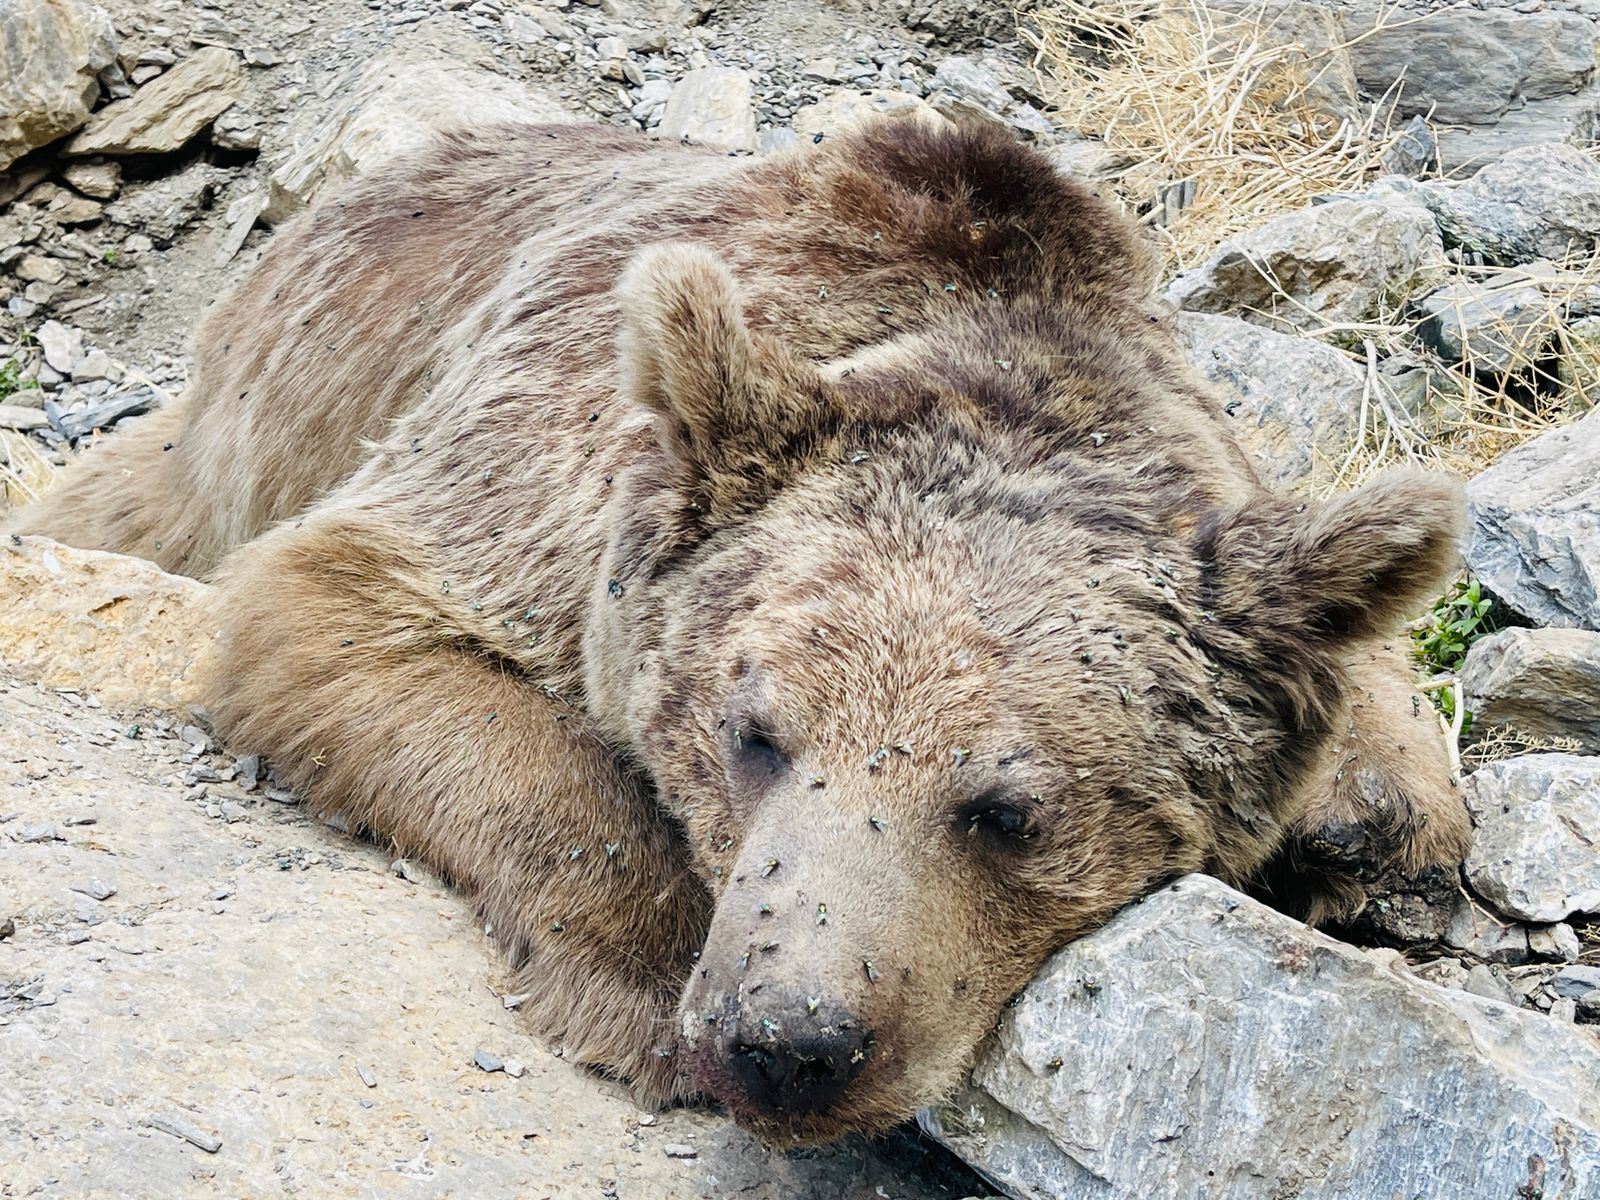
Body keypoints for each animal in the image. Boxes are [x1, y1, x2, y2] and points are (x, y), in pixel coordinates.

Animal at [7, 120, 1471, 1145]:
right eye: (751, 735)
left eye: (1007, 809)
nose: (788, 1040)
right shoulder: (530, 471)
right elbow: (344, 610)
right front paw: (647, 991)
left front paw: (1366, 820)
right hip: (254, 409)